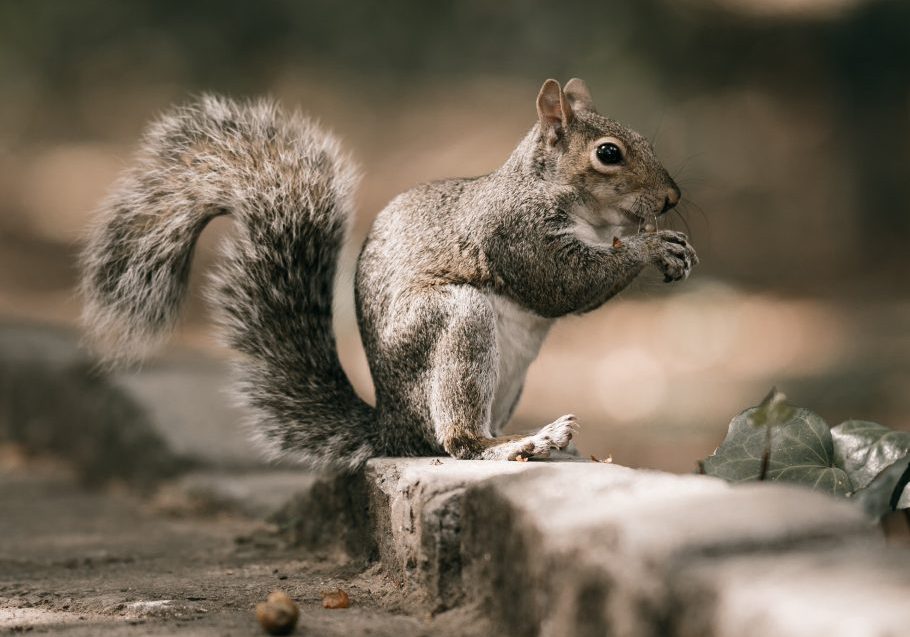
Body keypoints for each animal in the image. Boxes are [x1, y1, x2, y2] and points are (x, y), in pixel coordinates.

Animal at [80, 78, 697, 471]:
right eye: (609, 154)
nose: (672, 199)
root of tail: (391, 429)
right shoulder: (511, 233)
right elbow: (559, 282)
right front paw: (649, 247)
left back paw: (538, 443)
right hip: (454, 325)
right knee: (457, 443)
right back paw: (517, 445)